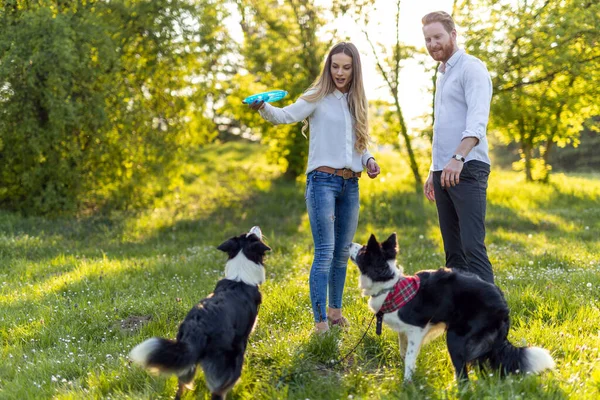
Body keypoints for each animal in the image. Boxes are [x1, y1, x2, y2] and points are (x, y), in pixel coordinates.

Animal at [132, 227, 274, 398]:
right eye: (253, 236)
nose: (256, 227)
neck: (240, 275)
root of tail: (198, 326)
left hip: (187, 360)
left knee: (181, 387)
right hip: (228, 359)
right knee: (219, 390)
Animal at [350, 233, 556, 382]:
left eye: (363, 250)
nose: (350, 243)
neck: (389, 285)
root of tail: (503, 306)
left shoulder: (417, 328)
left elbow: (409, 356)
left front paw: (407, 382)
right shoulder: (404, 330)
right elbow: (403, 350)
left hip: (456, 337)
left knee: (463, 376)